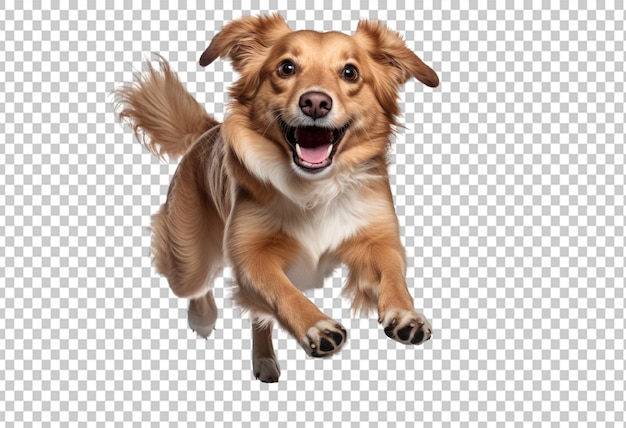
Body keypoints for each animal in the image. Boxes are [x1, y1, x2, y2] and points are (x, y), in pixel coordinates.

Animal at [117, 13, 438, 382]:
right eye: (286, 68)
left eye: (350, 72)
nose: (315, 102)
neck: (314, 186)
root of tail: (206, 133)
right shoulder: (251, 255)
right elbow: (282, 290)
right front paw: (316, 325)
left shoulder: (377, 240)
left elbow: (392, 275)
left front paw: (405, 315)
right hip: (189, 259)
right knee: (196, 287)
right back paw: (204, 317)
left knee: (259, 318)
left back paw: (264, 360)